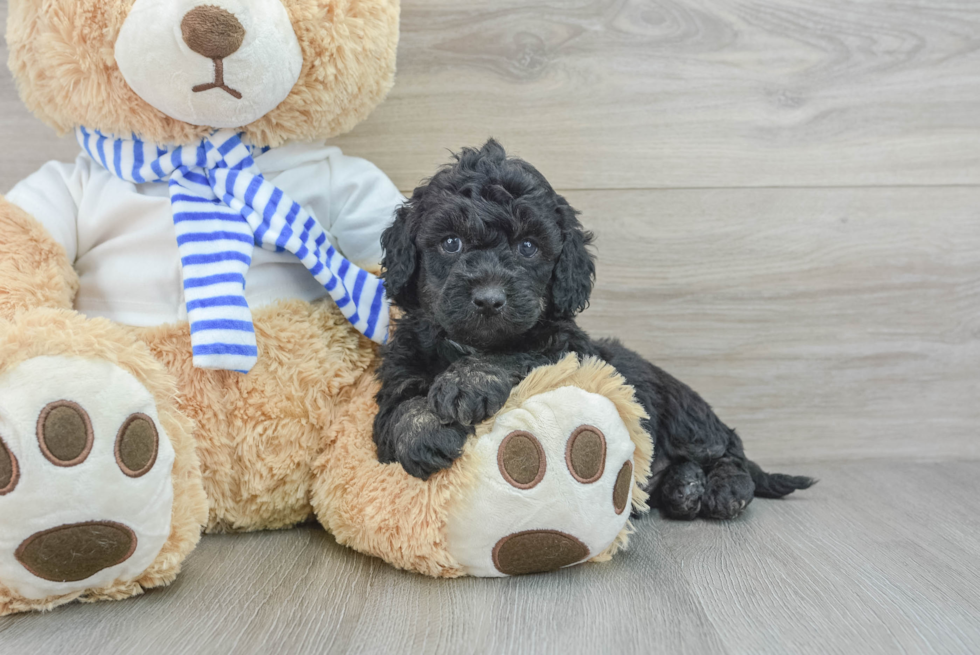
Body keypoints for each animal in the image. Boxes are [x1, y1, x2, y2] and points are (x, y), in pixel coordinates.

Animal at [372, 141, 816, 520]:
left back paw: (723, 490)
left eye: (528, 247)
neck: (465, 345)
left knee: (729, 453)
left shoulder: (569, 350)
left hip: (686, 417)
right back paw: (683, 486)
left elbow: (520, 352)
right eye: (451, 242)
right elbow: (399, 402)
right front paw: (422, 431)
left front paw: (466, 381)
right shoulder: (400, 362)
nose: (489, 299)